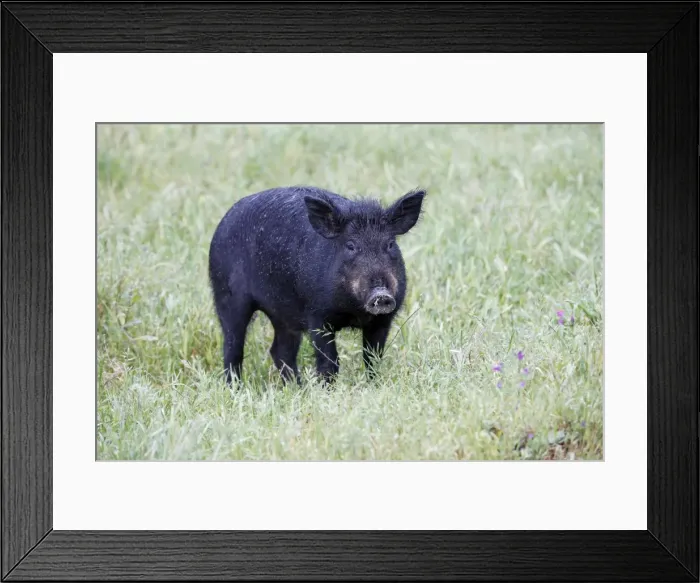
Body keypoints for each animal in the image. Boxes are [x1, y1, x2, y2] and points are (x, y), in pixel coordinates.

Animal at [208, 185, 426, 384]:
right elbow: (329, 362)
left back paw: (297, 387)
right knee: (232, 348)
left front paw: (374, 385)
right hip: (226, 297)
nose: (381, 295)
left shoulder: (382, 321)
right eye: (351, 246)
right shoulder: (317, 317)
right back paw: (235, 388)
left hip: (284, 316)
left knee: (280, 351)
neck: (354, 311)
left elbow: (372, 359)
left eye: (390, 244)